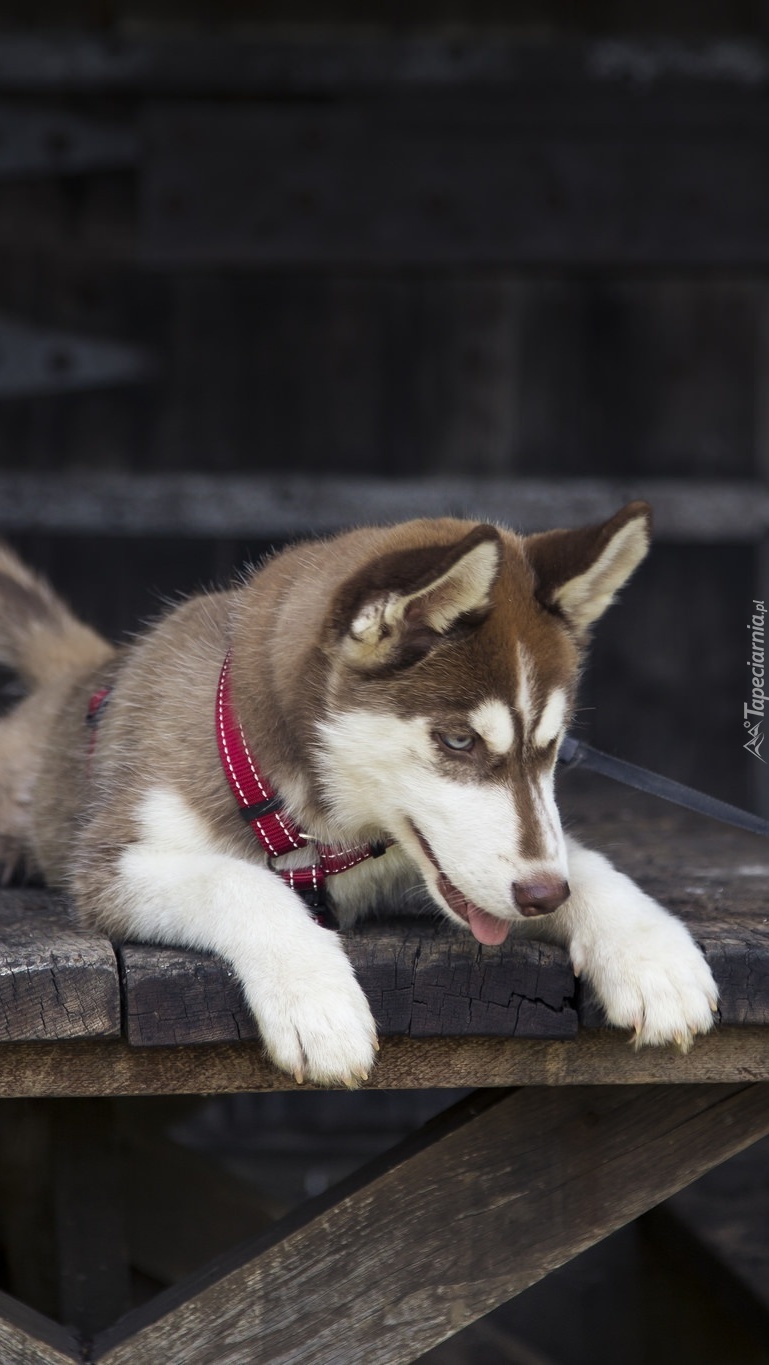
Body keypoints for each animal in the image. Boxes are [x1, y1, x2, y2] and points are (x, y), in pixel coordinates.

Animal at [0, 507, 715, 1081]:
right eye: (458, 741)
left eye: (552, 745)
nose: (543, 896)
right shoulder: (113, 862)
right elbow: (241, 883)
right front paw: (316, 1001)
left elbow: (585, 861)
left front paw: (653, 953)